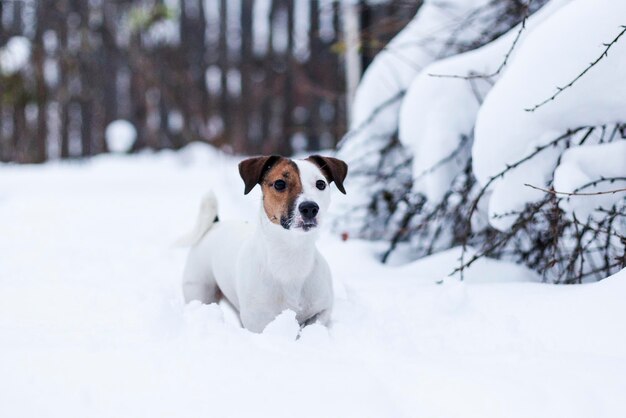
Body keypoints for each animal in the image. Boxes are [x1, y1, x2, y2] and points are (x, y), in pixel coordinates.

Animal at [180, 154, 348, 334]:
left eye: (321, 184)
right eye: (280, 184)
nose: (310, 208)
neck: (291, 255)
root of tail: (214, 224)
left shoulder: (321, 310)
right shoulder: (258, 323)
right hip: (200, 290)